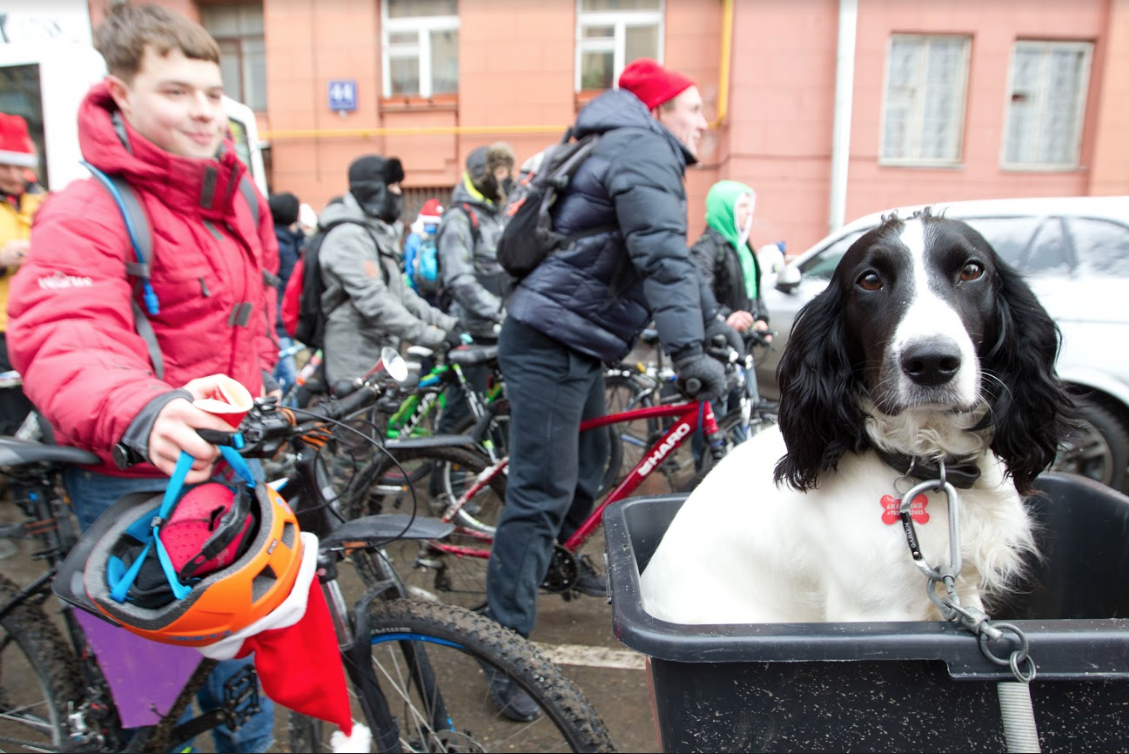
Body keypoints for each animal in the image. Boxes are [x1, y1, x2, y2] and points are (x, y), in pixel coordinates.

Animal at [641, 208, 1070, 623]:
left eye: (971, 270)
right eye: (870, 280)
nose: (932, 362)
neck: (931, 468)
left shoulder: (963, 590)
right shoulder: (876, 612)